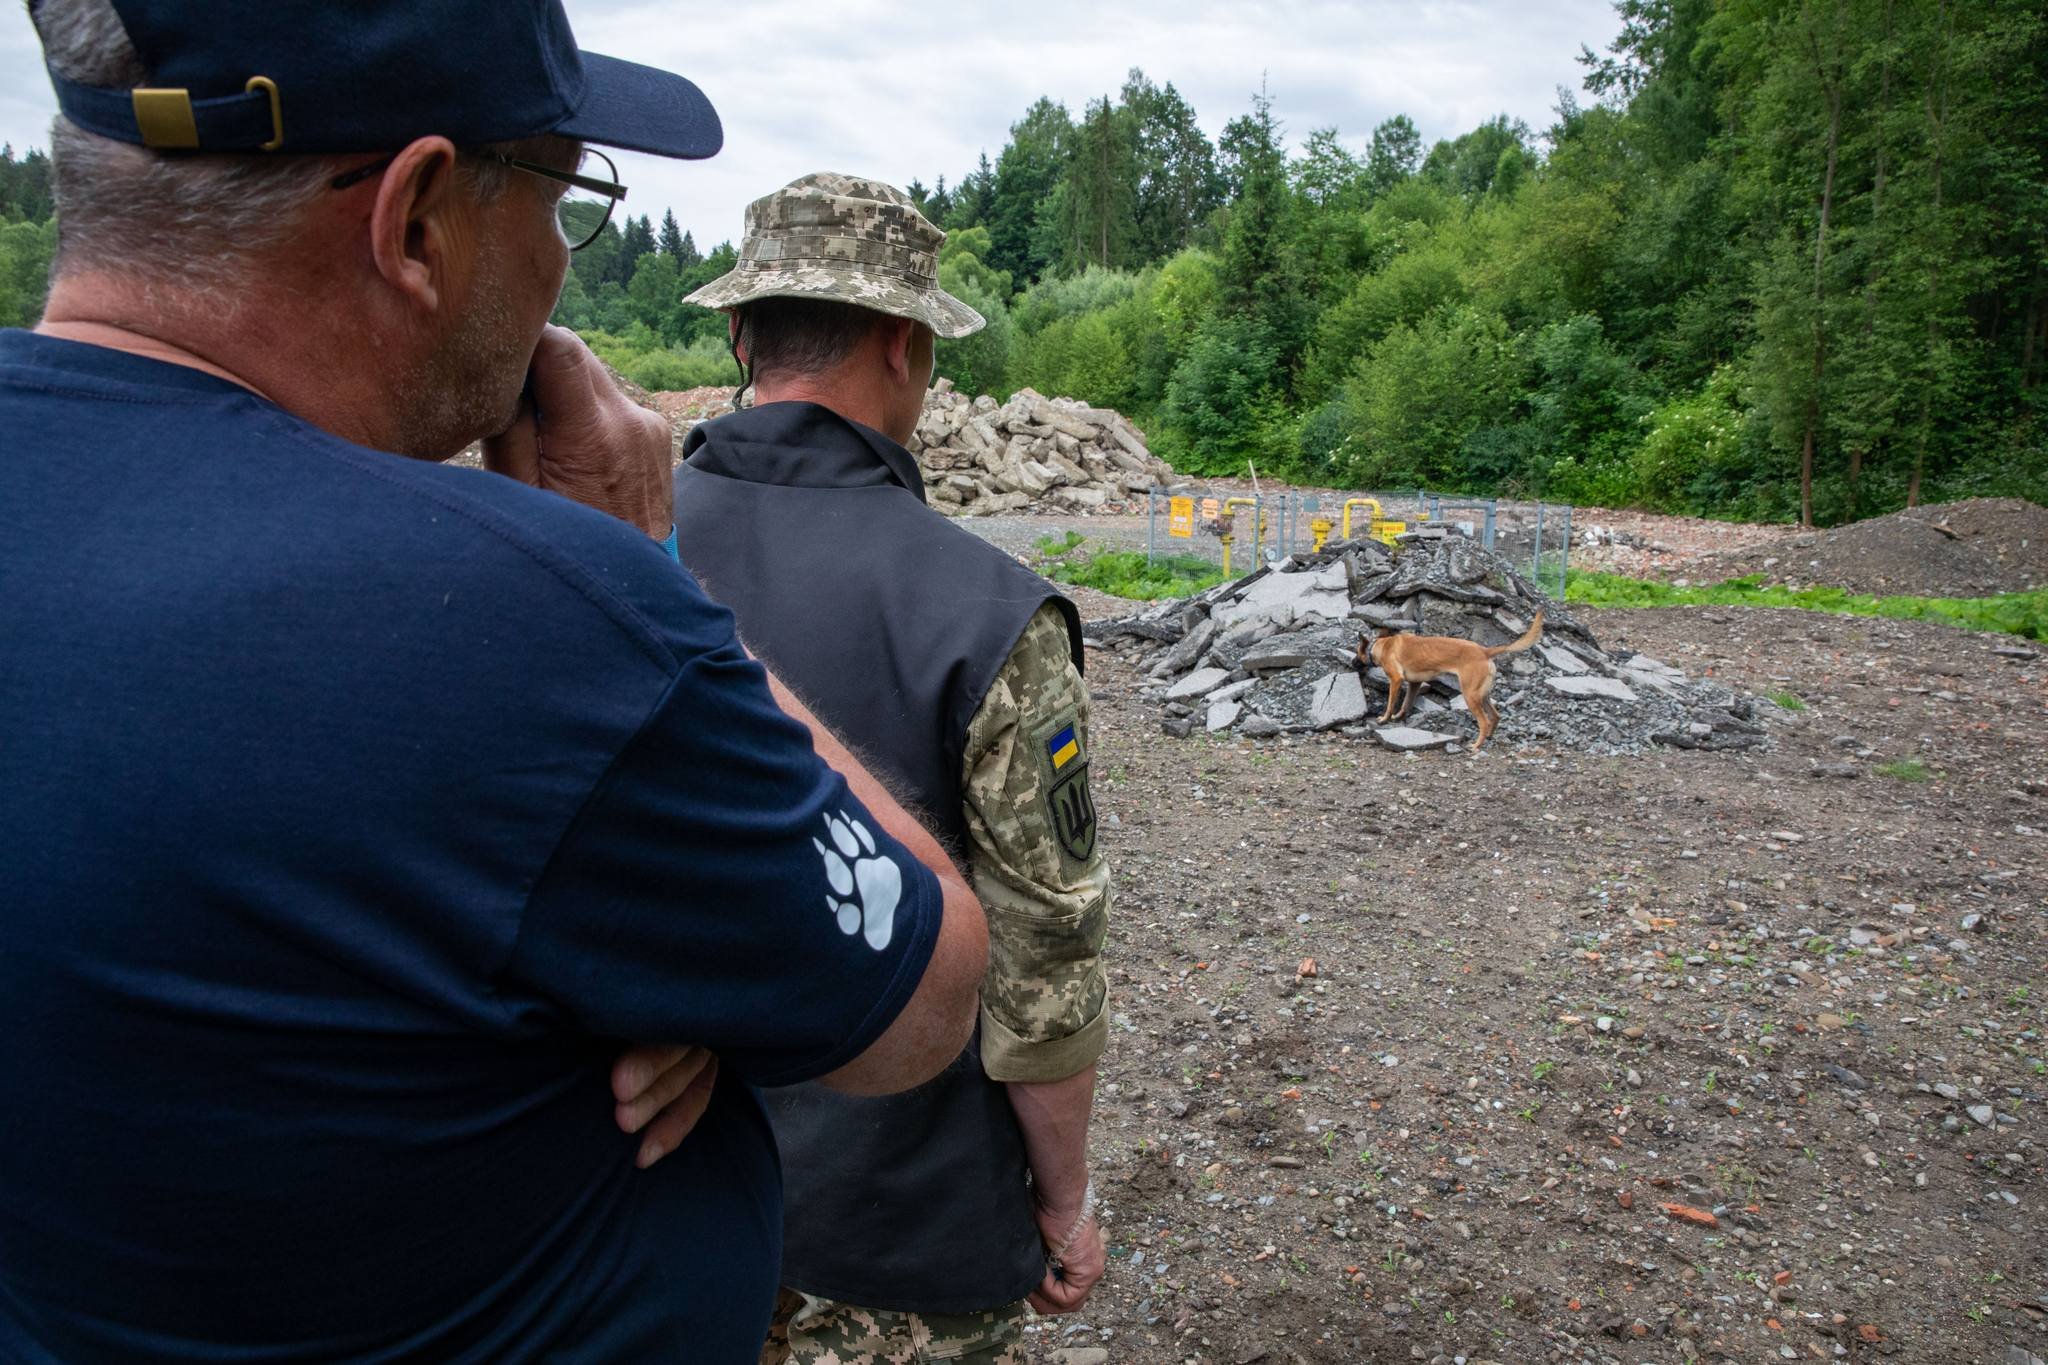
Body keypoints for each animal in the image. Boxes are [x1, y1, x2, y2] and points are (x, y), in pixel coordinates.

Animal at [1351, 613, 1540, 753]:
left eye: (1356, 651)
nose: (1352, 663)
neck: (1382, 646)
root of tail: (1484, 651)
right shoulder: (1415, 684)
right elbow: (1406, 703)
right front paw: (1398, 716)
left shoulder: (1396, 679)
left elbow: (1391, 703)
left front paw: (1385, 718)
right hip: (1482, 695)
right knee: (1495, 716)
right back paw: (1489, 737)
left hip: (1470, 695)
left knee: (1484, 721)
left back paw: (1476, 745)